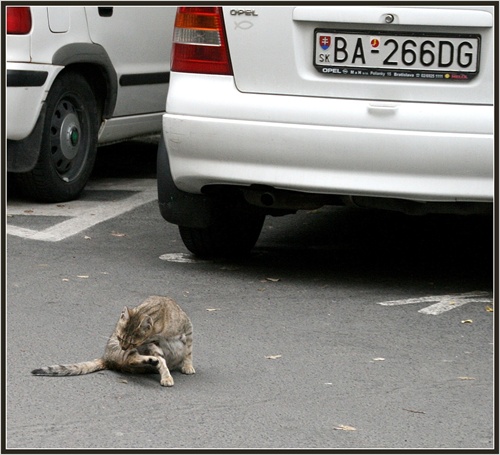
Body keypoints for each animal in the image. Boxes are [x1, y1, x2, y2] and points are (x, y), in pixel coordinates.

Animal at [31, 296, 195, 388]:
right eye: (120, 338)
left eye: (133, 343)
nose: (123, 347)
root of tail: (106, 357)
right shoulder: (152, 344)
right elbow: (162, 361)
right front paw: (166, 375)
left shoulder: (188, 329)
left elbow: (188, 351)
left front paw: (187, 366)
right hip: (121, 353)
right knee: (130, 360)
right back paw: (152, 361)